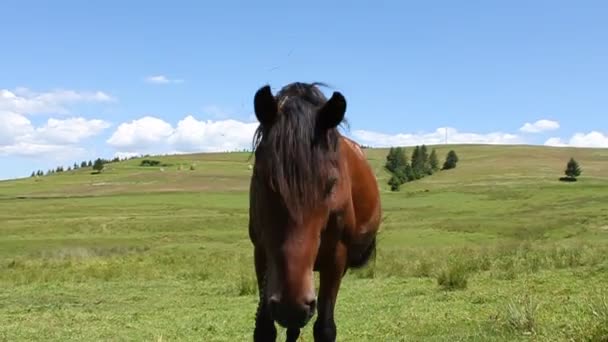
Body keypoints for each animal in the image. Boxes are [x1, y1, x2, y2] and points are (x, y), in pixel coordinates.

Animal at [247, 81, 380, 340]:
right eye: (260, 177)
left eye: (331, 183)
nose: (291, 307)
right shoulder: (261, 252)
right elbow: (265, 328)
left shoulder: (337, 259)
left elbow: (325, 328)